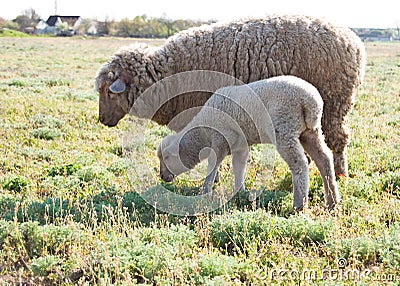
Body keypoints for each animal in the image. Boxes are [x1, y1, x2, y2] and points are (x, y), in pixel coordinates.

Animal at [94, 15, 366, 178]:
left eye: (109, 91)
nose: (102, 120)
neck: (166, 74)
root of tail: (354, 42)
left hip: (334, 102)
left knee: (339, 140)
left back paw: (341, 174)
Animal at [158, 76, 340, 210]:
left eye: (166, 157)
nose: (162, 177)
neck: (202, 132)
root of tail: (310, 101)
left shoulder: (220, 140)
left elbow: (213, 166)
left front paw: (204, 193)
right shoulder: (241, 146)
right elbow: (239, 166)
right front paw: (240, 192)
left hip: (284, 129)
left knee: (300, 164)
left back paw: (299, 205)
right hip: (309, 131)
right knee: (324, 159)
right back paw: (332, 201)